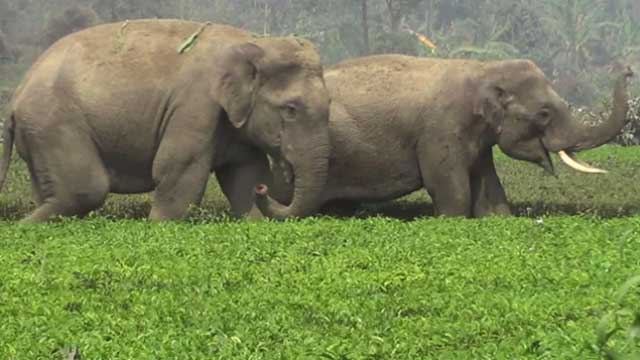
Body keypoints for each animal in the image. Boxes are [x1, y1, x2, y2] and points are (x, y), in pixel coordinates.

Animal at [0, 19, 330, 224]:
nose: (266, 190)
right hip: (54, 124)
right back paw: (21, 227)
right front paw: (157, 225)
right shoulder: (195, 106)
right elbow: (177, 171)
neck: (255, 42)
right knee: (86, 188)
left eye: (329, 105)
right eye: (290, 109)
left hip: (40, 135)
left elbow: (244, 175)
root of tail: (16, 96)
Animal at [262, 55, 632, 218]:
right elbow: (449, 187)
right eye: (543, 114)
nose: (628, 69)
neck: (483, 70)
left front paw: (500, 218)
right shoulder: (441, 130)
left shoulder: (480, 142)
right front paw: (450, 220)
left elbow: (489, 189)